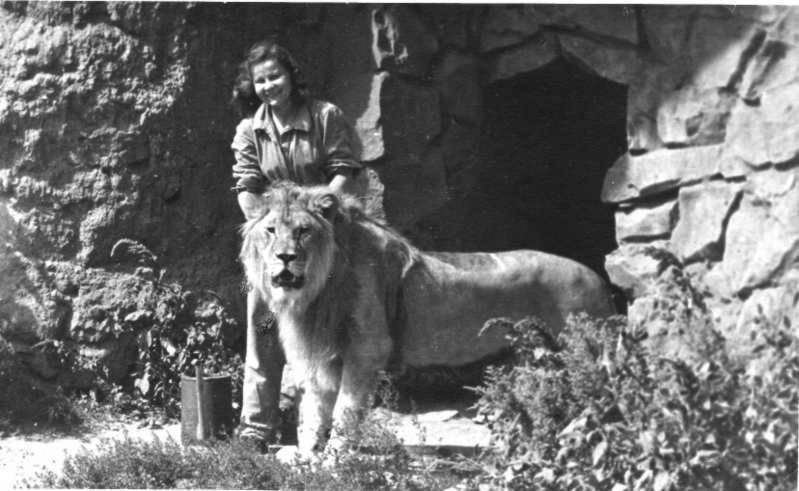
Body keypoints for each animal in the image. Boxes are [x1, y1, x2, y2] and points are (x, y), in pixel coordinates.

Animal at [240, 182, 615, 459]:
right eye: (271, 230)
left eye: (303, 231)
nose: (285, 257)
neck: (318, 288)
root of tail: (600, 280)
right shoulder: (323, 354)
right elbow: (315, 411)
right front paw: (307, 456)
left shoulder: (367, 349)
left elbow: (345, 410)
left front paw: (334, 458)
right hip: (534, 361)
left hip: (582, 357)